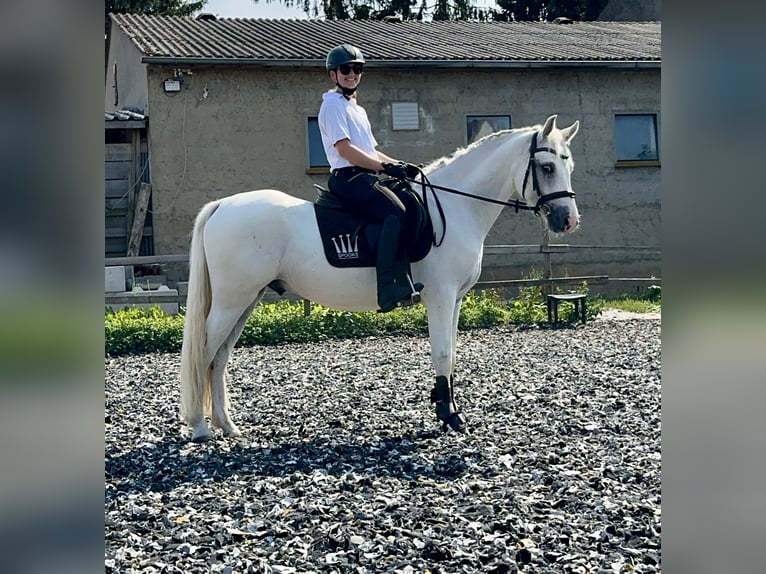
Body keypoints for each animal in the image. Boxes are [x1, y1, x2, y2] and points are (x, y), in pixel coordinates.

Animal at [180, 115, 584, 444]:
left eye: (570, 164)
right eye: (547, 166)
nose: (567, 220)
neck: (455, 208)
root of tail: (223, 206)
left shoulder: (455, 299)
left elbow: (451, 355)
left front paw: (450, 411)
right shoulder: (440, 296)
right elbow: (441, 353)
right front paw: (447, 415)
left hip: (246, 301)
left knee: (220, 358)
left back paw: (227, 426)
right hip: (232, 301)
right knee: (205, 353)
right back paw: (200, 427)